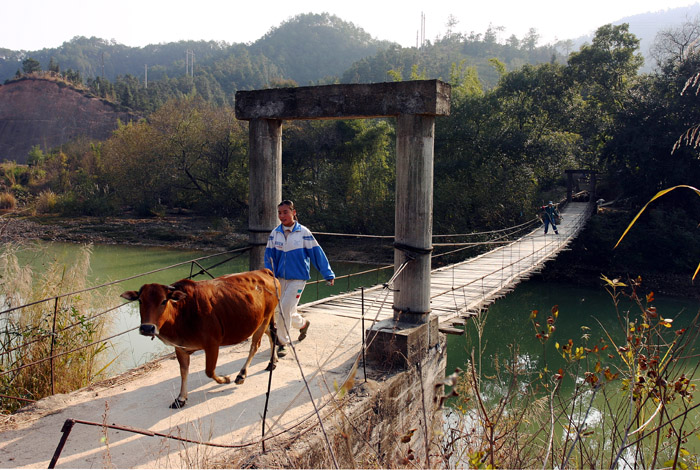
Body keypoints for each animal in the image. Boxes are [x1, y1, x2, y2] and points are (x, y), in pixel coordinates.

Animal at [119, 268, 278, 408]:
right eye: (140, 300)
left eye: (164, 301)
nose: (147, 328)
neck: (182, 312)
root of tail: (264, 271)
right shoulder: (180, 348)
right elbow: (183, 372)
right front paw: (181, 398)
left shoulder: (212, 345)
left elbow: (209, 371)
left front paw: (225, 379)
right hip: (260, 321)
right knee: (272, 333)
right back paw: (272, 362)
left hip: (265, 317)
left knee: (255, 345)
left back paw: (242, 375)